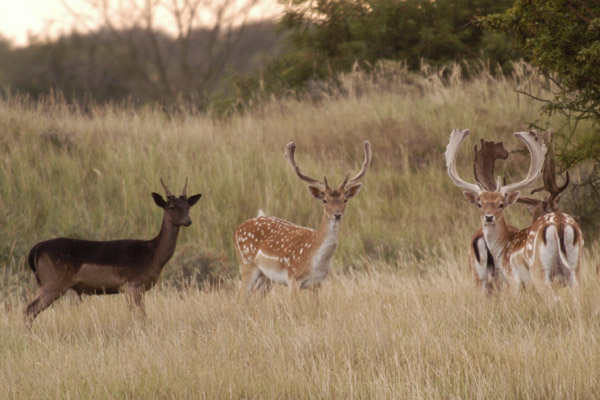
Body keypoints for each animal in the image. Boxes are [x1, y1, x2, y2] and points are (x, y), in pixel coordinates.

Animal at [24, 177, 202, 324]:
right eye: (171, 207)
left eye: (188, 207)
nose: (188, 221)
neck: (152, 256)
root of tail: (35, 250)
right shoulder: (130, 284)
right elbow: (139, 317)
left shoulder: (139, 289)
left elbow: (143, 315)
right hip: (53, 282)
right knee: (29, 309)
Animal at [234, 142, 370, 292]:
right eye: (324, 200)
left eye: (345, 199)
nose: (337, 214)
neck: (315, 260)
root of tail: (237, 229)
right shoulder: (293, 278)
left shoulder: (318, 282)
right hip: (247, 264)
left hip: (264, 277)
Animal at [448, 128, 584, 300]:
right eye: (479, 204)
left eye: (501, 204)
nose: (489, 217)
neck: (503, 245)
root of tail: (559, 225)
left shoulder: (513, 278)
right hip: (575, 267)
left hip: (535, 271)